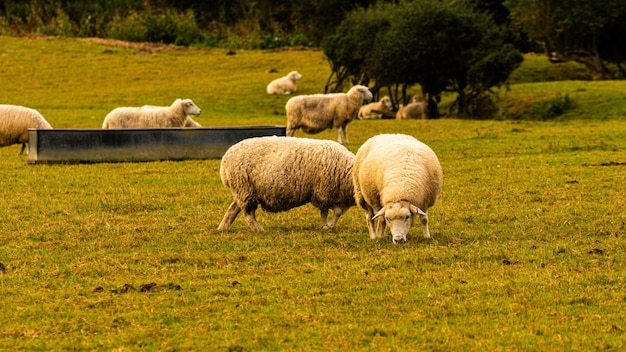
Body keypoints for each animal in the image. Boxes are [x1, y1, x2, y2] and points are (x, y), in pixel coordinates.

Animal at [218, 136, 356, 232]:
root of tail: (225, 160)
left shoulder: (322, 196)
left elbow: (325, 212)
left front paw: (324, 226)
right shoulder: (322, 194)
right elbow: (338, 211)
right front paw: (329, 226)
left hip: (244, 191)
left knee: (233, 209)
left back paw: (223, 227)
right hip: (244, 188)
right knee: (248, 214)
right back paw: (259, 230)